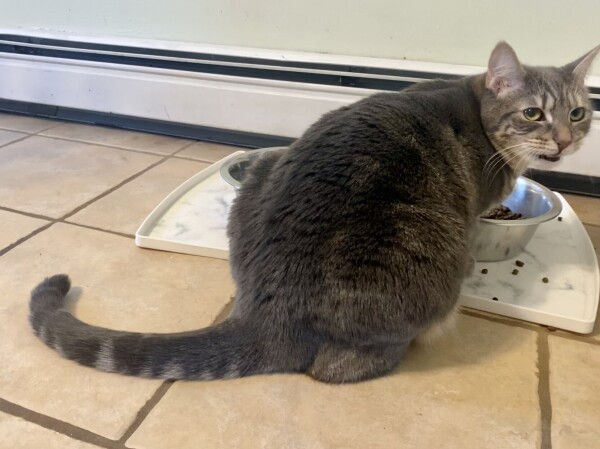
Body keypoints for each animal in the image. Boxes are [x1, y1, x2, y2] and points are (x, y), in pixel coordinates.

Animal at [29, 43, 600, 382]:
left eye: (578, 112)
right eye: (533, 113)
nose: (565, 140)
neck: (476, 108)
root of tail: (265, 313)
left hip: (263, 173)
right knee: (337, 366)